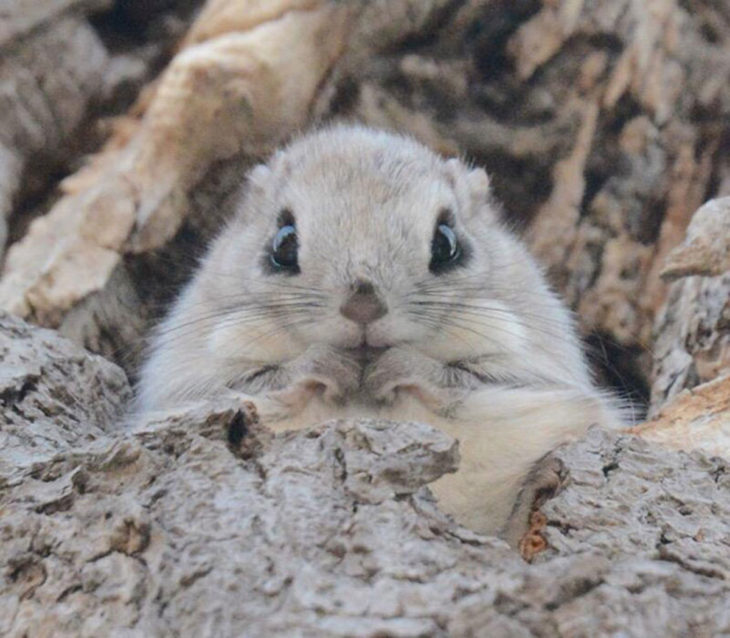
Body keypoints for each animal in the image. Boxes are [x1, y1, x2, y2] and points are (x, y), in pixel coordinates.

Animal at [136, 126, 620, 544]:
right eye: (283, 243)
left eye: (448, 242)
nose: (363, 307)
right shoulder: (191, 380)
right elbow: (255, 382)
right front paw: (329, 365)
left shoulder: (535, 367)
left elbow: (466, 379)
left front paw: (396, 366)